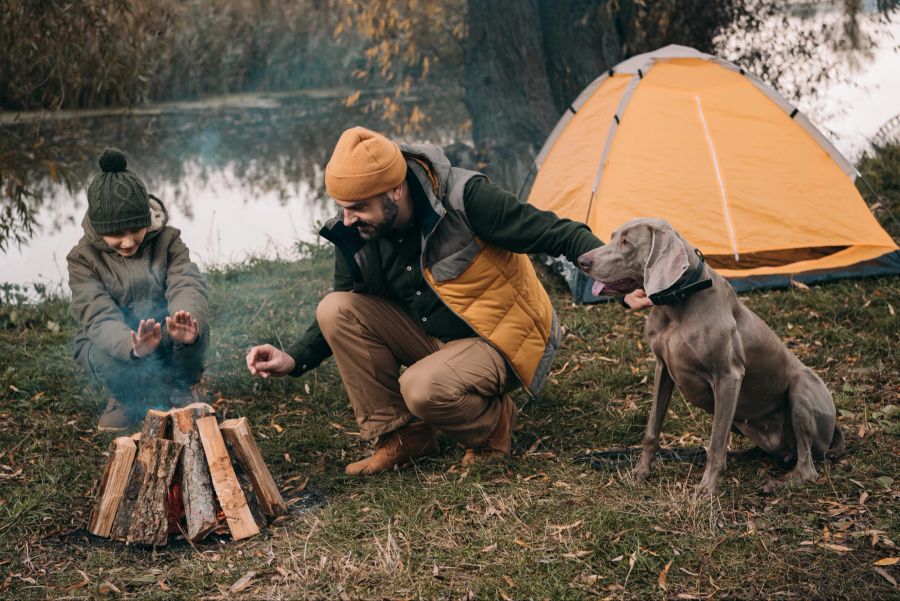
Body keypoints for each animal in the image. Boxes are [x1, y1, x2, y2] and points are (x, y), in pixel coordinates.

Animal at [576, 218, 844, 494]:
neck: (677, 301)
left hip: (802, 389)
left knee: (807, 467)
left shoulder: (728, 376)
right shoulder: (663, 368)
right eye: (612, 236)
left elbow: (715, 444)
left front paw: (706, 490)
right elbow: (652, 428)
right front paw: (640, 472)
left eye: (627, 243)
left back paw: (775, 483)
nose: (581, 260)